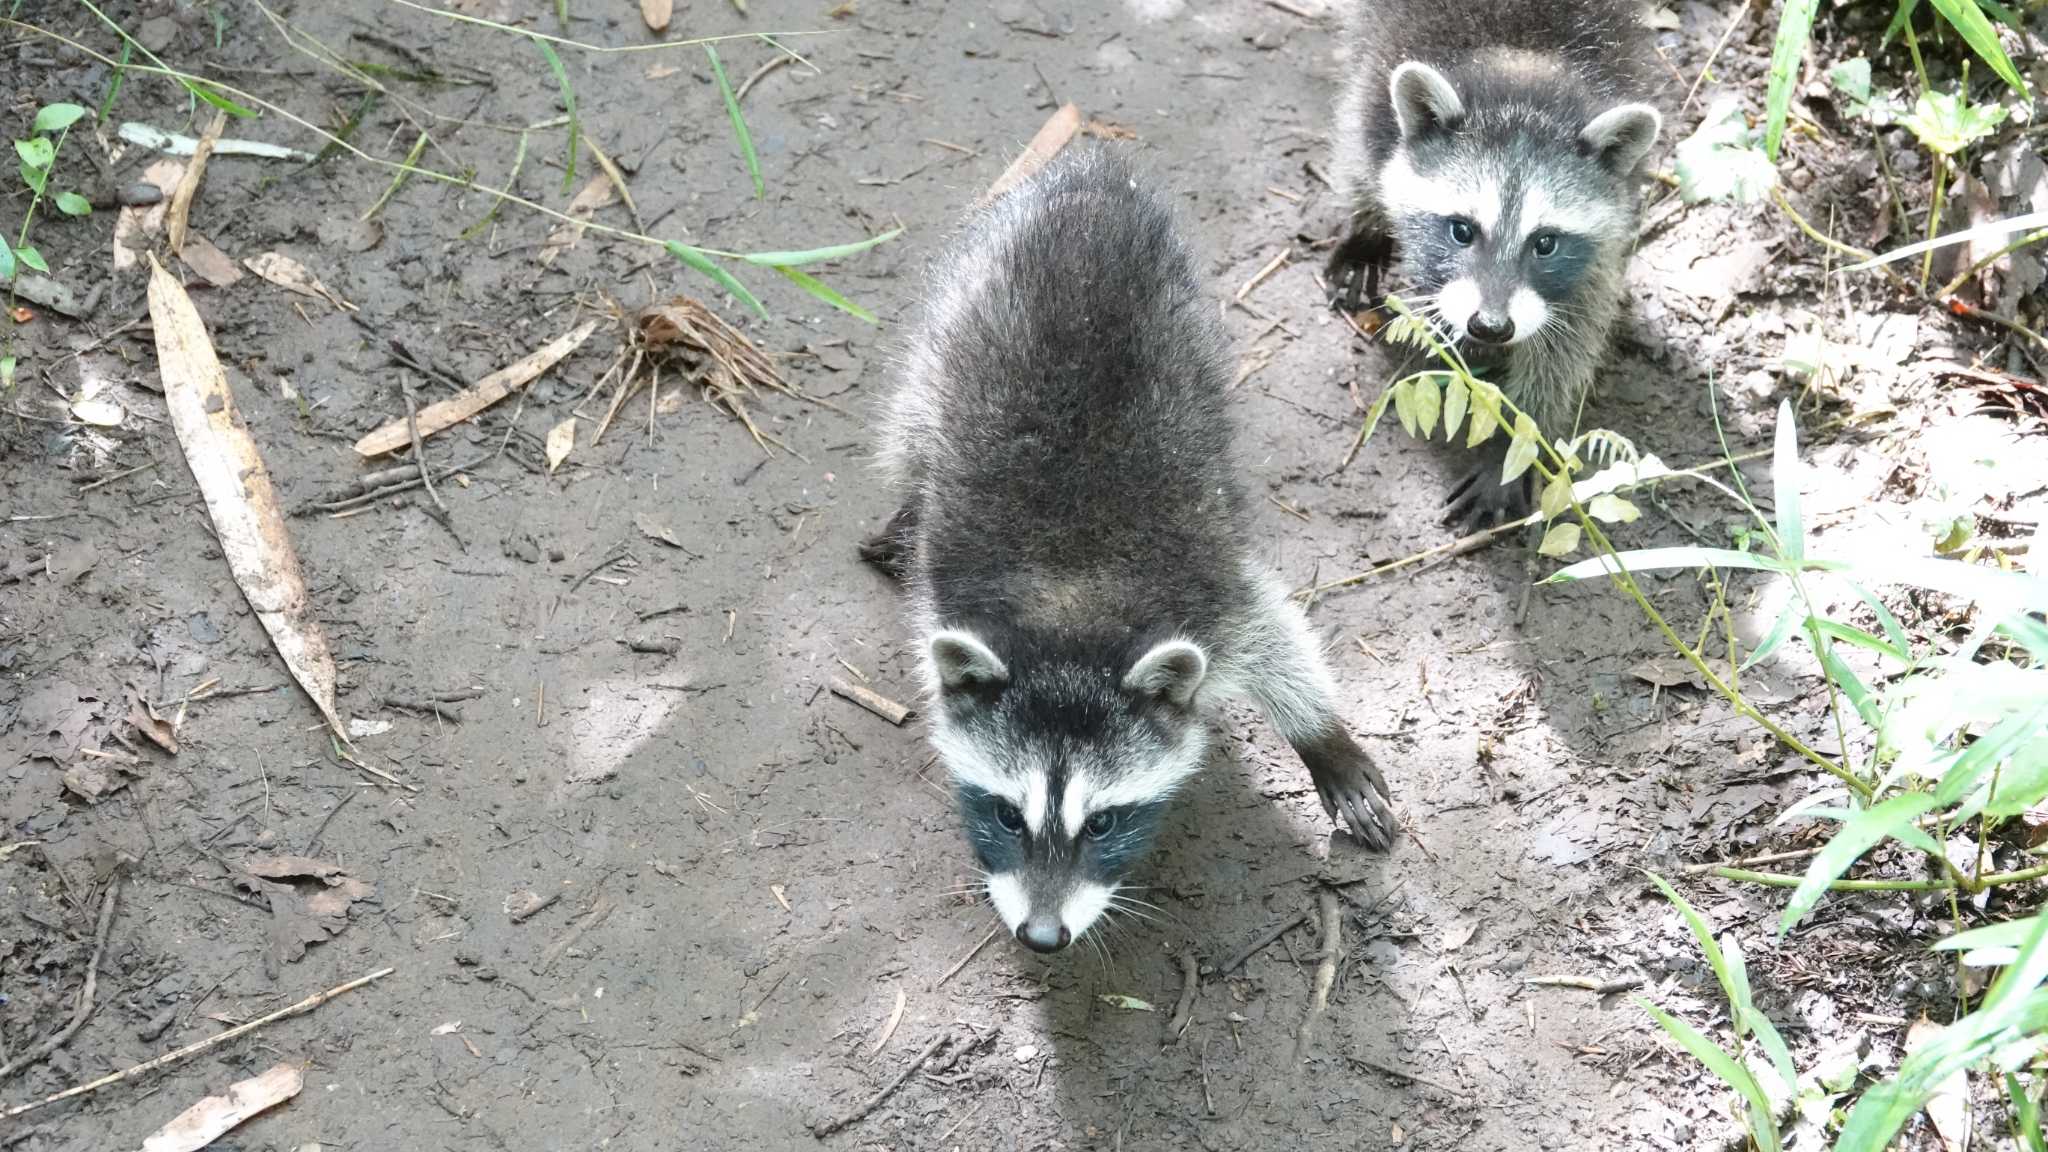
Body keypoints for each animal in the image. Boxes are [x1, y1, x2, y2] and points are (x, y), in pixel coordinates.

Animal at [856, 145, 1400, 951]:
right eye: (1006, 815)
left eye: (1104, 823)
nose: (1043, 937)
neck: (1070, 625)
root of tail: (1092, 174)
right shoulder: (947, 591)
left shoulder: (1214, 594)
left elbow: (1277, 636)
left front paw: (1323, 736)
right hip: (948, 327)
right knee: (910, 436)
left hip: (1192, 330)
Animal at [1327, 0, 1662, 528]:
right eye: (1462, 230)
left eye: (1545, 243)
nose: (1489, 326)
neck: (1521, 71)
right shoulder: (1375, 85)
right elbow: (1356, 150)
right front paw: (1363, 224)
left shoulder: (1610, 225)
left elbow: (1571, 336)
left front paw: (1516, 441)